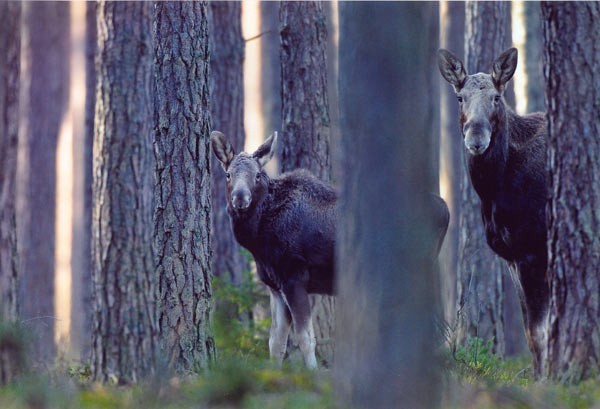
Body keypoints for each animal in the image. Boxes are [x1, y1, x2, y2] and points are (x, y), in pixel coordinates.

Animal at [211, 130, 450, 366]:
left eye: (257, 175)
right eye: (228, 175)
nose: (240, 198)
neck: (259, 240)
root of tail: (446, 211)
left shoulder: (295, 277)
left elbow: (305, 339)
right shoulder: (275, 286)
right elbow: (276, 343)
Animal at [436, 47, 548, 372]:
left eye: (497, 97)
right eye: (460, 98)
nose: (476, 138)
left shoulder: (534, 249)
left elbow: (540, 332)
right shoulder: (512, 256)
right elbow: (530, 333)